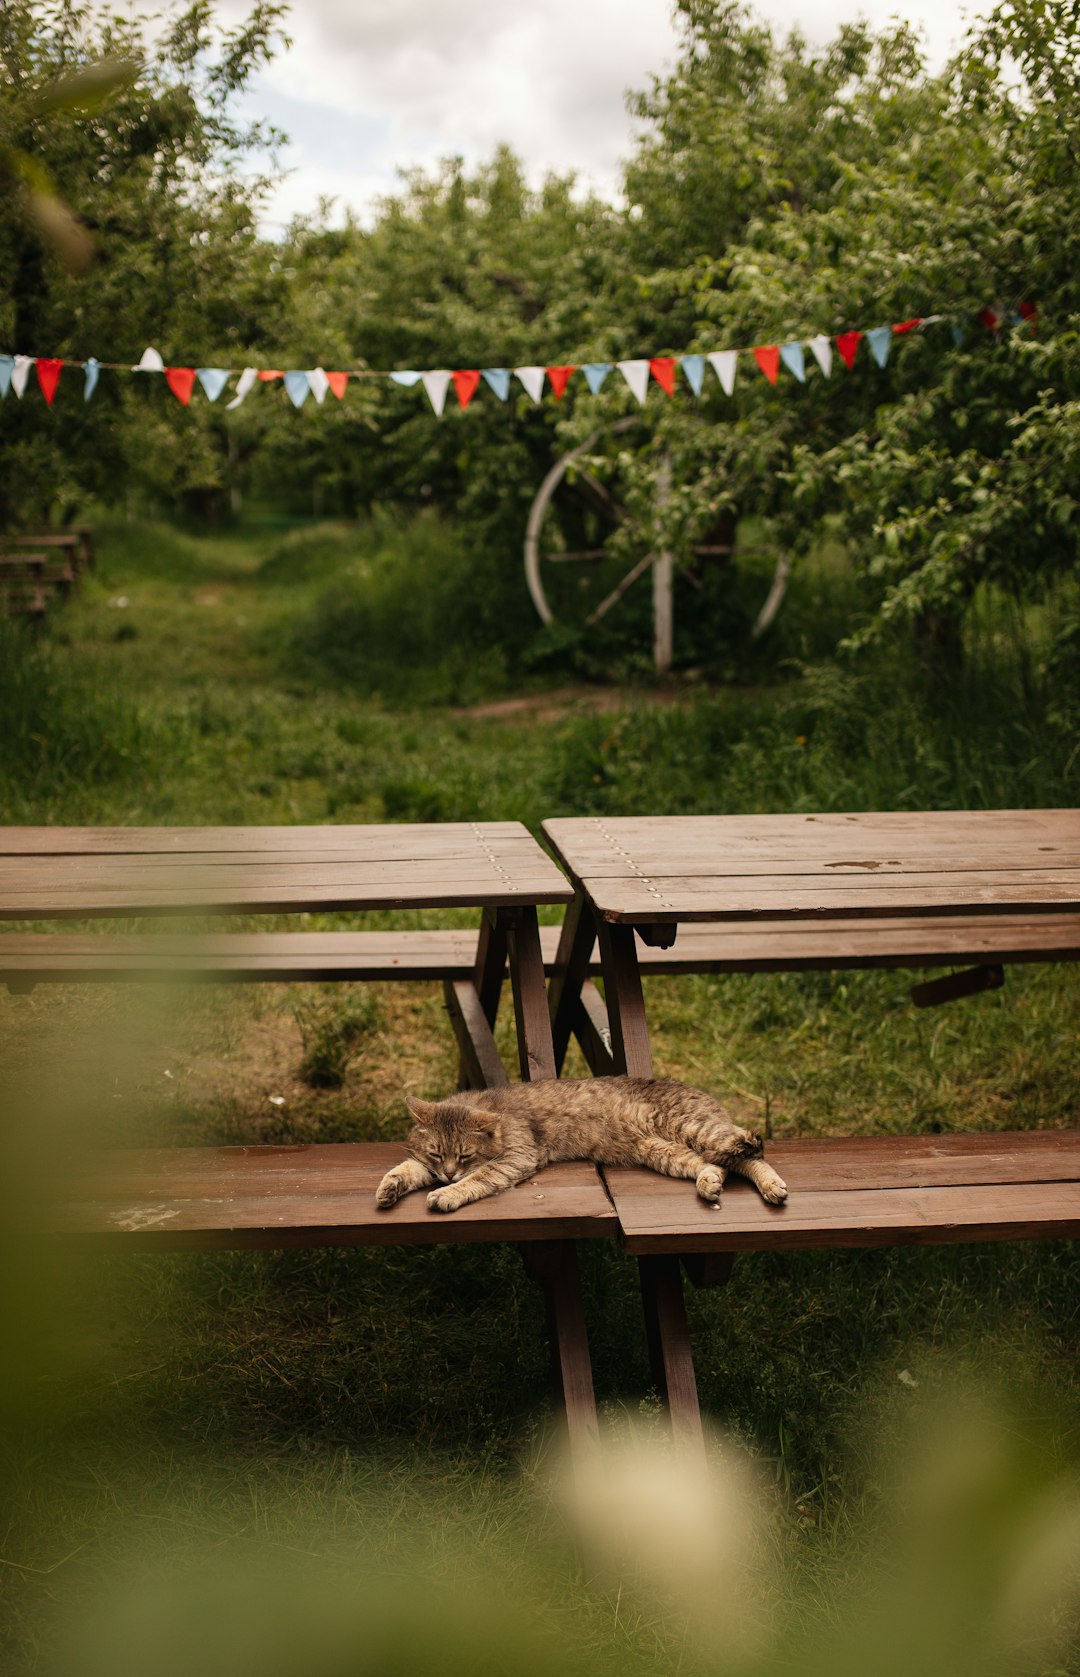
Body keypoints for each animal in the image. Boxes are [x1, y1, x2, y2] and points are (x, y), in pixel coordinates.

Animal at [375, 1079, 788, 1214]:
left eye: (465, 1155)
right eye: (436, 1153)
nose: (447, 1173)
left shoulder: (517, 1156)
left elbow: (476, 1179)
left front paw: (448, 1193)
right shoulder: (425, 1163)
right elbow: (407, 1168)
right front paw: (389, 1186)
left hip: (696, 1129)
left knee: (749, 1149)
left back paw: (772, 1186)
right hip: (663, 1152)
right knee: (718, 1164)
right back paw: (709, 1183)